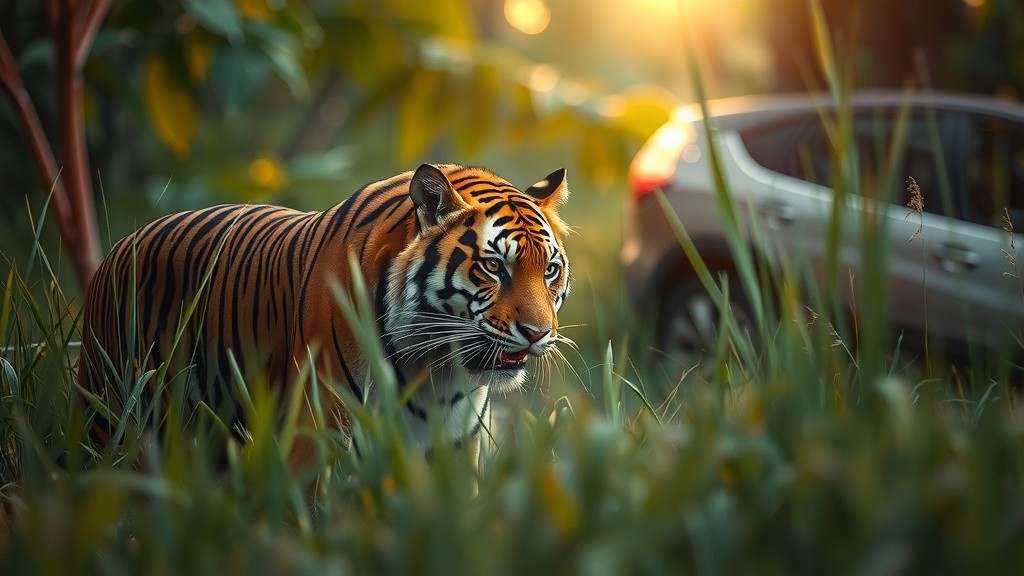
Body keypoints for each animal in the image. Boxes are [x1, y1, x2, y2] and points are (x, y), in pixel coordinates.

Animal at [78, 164, 571, 470]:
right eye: (494, 266)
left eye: (549, 270)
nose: (537, 333)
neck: (433, 369)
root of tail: (121, 246)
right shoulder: (320, 430)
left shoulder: (455, 441)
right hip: (112, 410)